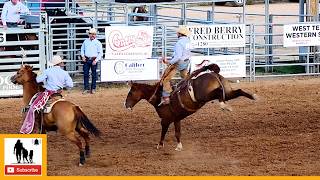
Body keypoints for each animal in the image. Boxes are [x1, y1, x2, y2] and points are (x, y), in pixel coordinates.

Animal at [125, 63, 258, 150]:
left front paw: (160, 144)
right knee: (238, 91)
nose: (125, 105)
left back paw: (223, 106)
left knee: (219, 92)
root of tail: (212, 74)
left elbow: (164, 131)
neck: (157, 96)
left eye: (130, 93)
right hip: (228, 92)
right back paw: (253, 97)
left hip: (206, 96)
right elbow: (177, 133)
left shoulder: (165, 120)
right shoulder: (176, 119)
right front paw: (179, 146)